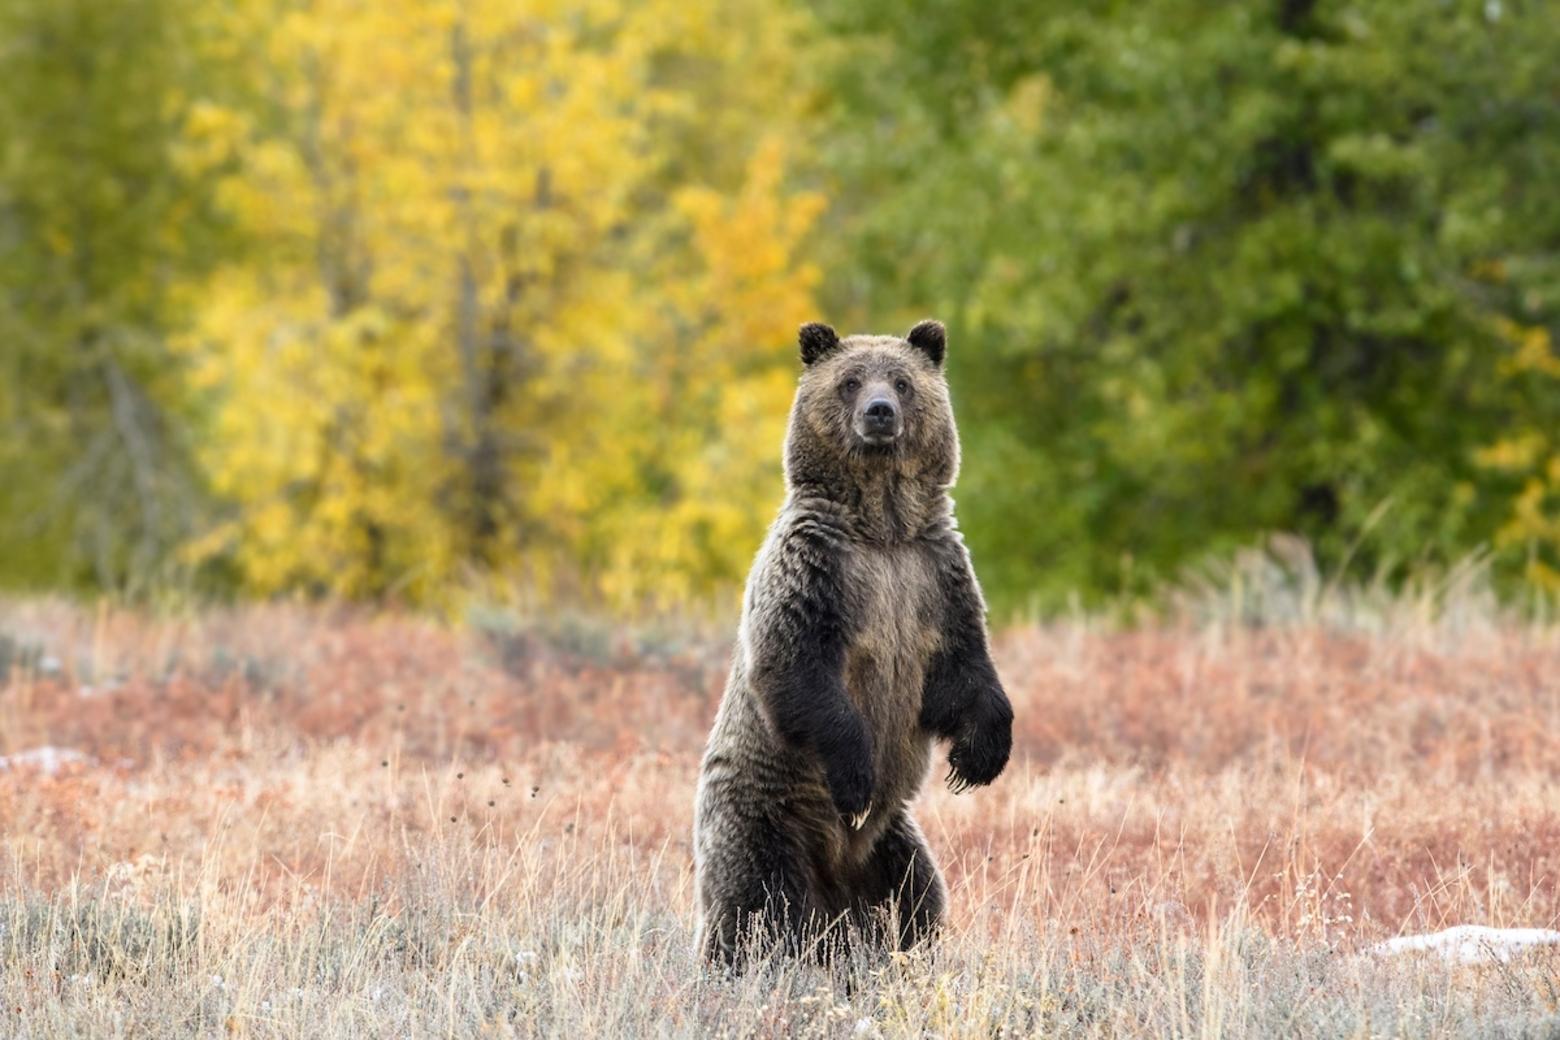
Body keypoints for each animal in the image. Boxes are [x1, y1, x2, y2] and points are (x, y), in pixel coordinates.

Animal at [692, 319, 1010, 966]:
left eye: (902, 381)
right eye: (850, 380)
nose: (880, 412)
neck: (882, 530)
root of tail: (834, 876)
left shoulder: (933, 577)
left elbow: (963, 666)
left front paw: (979, 756)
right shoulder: (817, 569)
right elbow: (796, 667)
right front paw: (857, 775)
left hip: (890, 845)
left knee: (918, 897)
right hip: (767, 817)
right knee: (755, 904)